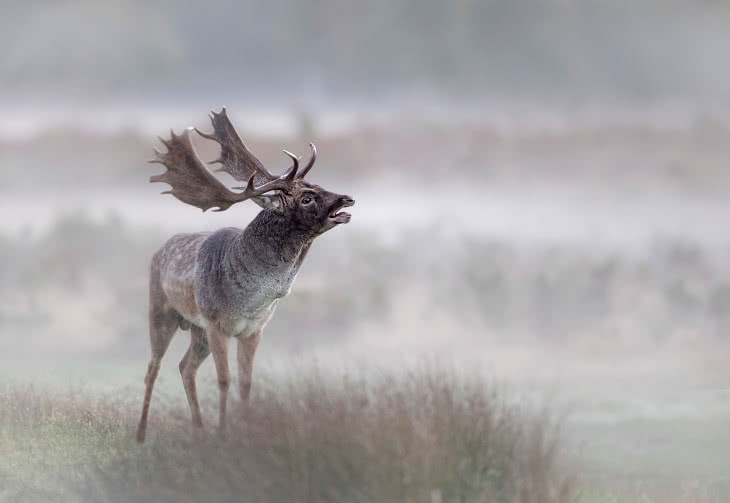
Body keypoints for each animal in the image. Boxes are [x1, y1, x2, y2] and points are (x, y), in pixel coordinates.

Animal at [136, 106, 356, 440]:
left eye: (318, 185)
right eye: (306, 198)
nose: (346, 199)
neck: (252, 299)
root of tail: (158, 251)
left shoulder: (254, 329)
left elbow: (246, 383)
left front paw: (244, 430)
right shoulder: (216, 323)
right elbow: (224, 380)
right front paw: (224, 432)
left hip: (196, 330)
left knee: (185, 367)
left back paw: (198, 428)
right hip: (161, 311)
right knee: (153, 367)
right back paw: (140, 434)